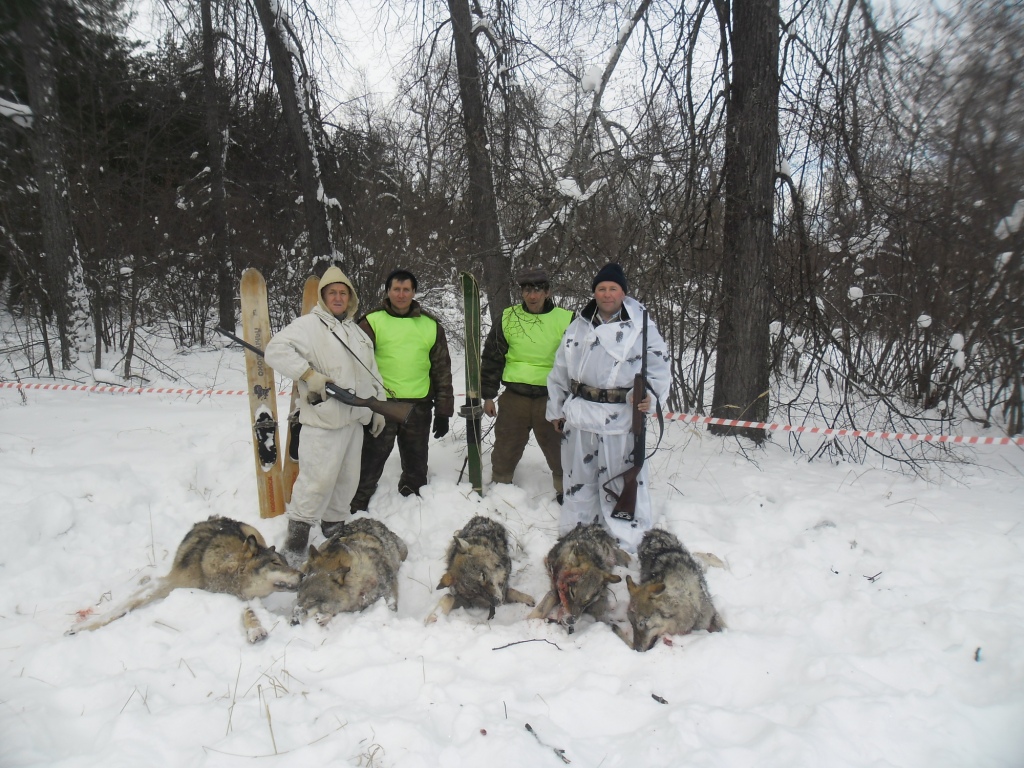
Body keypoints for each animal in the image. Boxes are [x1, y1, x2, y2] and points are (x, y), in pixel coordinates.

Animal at [66, 518, 299, 643]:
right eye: (276, 563)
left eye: (286, 562)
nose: (303, 575)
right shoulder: (166, 583)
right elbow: (122, 606)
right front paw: (82, 627)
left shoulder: (239, 598)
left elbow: (249, 611)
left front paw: (255, 630)